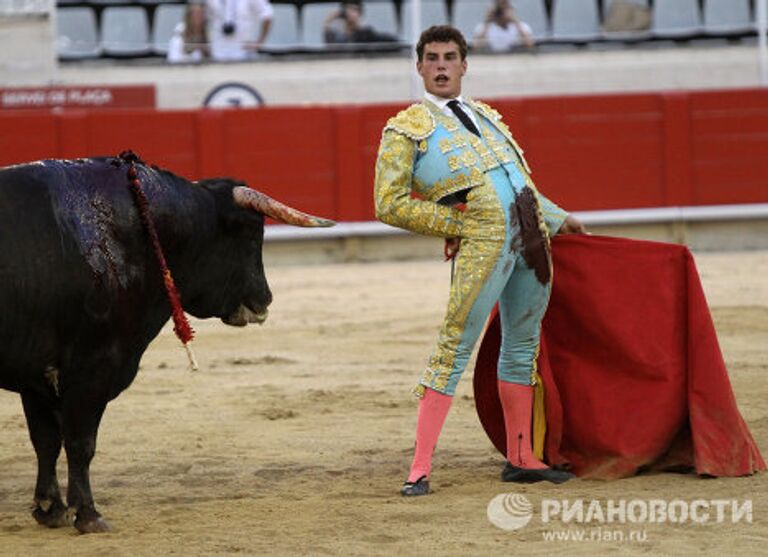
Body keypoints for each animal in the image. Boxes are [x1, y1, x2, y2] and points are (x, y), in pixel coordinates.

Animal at [0, 154, 336, 532]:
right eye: (251, 235)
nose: (265, 300)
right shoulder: (94, 367)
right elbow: (80, 442)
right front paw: (88, 514)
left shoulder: (38, 374)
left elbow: (45, 441)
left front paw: (49, 509)